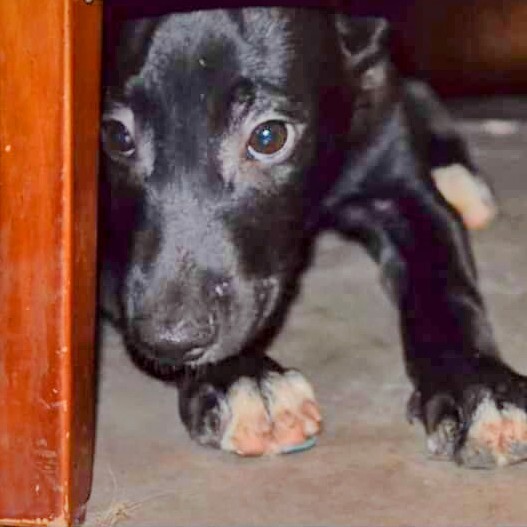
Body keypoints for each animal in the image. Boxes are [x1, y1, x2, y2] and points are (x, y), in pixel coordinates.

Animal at [101, 8, 524, 468]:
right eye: (117, 136)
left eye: (269, 137)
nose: (170, 341)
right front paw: (244, 377)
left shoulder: (403, 194)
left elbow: (447, 290)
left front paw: (479, 386)